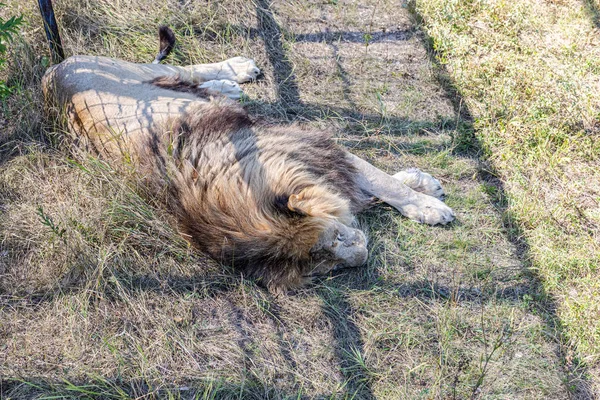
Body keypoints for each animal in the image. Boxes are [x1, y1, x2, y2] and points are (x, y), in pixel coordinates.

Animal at [42, 27, 454, 290]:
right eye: (327, 264)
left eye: (335, 239)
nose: (365, 254)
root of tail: (51, 73)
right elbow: (366, 183)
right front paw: (420, 190)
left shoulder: (310, 144)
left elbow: (379, 180)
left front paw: (426, 201)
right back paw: (228, 85)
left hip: (134, 72)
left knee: (182, 69)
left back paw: (234, 72)